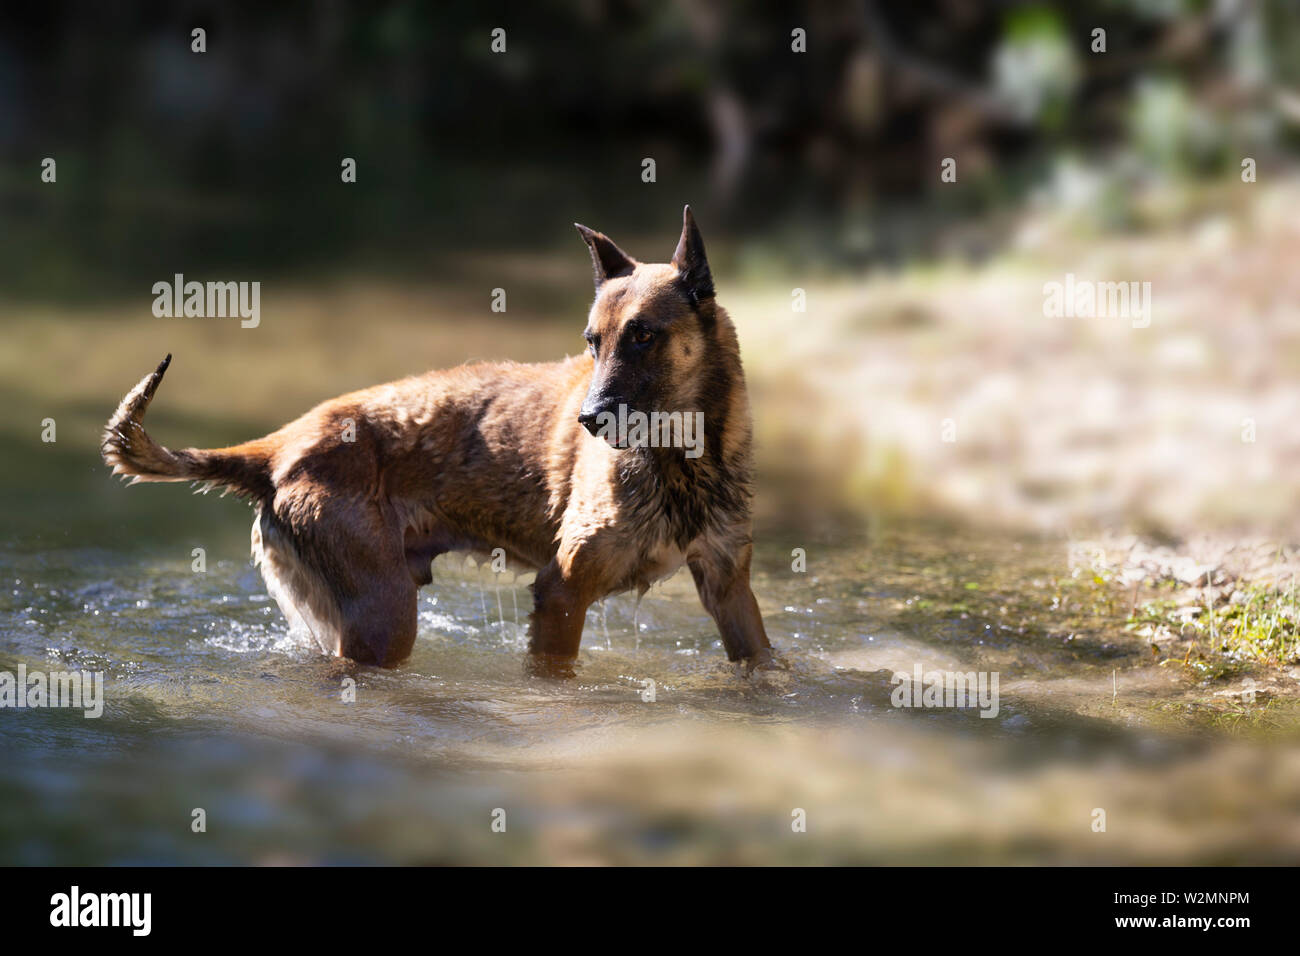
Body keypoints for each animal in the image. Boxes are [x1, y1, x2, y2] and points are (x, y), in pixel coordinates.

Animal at [104, 208, 769, 671]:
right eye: (592, 342)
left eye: (644, 336)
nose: (589, 419)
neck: (683, 459)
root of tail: (281, 447)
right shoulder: (562, 591)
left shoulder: (729, 588)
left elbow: (764, 662)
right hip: (384, 618)